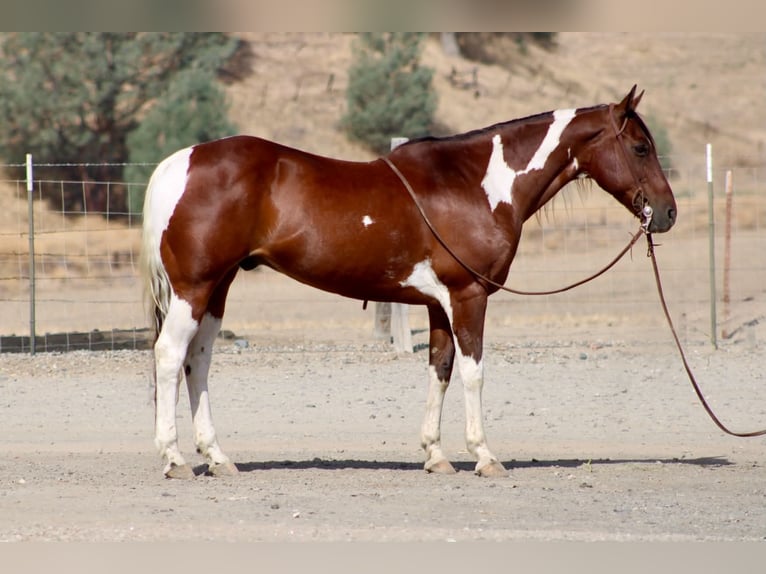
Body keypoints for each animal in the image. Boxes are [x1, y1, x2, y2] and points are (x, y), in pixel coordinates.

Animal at [141, 85, 676, 479]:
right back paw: (175, 459)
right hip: (194, 288)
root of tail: (177, 163)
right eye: (640, 147)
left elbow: (439, 369)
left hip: (217, 288)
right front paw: (485, 456)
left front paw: (435, 456)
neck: (475, 184)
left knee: (198, 360)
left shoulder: (439, 304)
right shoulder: (468, 297)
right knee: (170, 355)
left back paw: (217, 458)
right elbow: (474, 372)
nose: (668, 212)